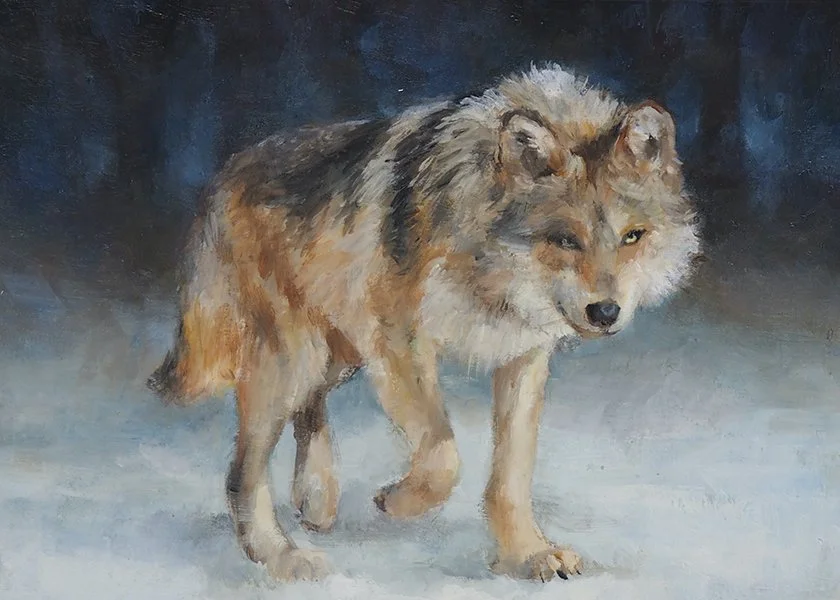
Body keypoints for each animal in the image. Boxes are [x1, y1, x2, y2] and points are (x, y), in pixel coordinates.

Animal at [148, 63, 700, 583]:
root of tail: (226, 172)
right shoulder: (399, 343)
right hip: (295, 358)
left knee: (310, 408)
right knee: (242, 473)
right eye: (565, 239)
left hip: (338, 354)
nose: (605, 313)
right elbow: (443, 454)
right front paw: (400, 503)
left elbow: (511, 477)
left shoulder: (522, 357)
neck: (485, 259)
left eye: (633, 237)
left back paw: (316, 499)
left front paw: (526, 554)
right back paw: (283, 558)